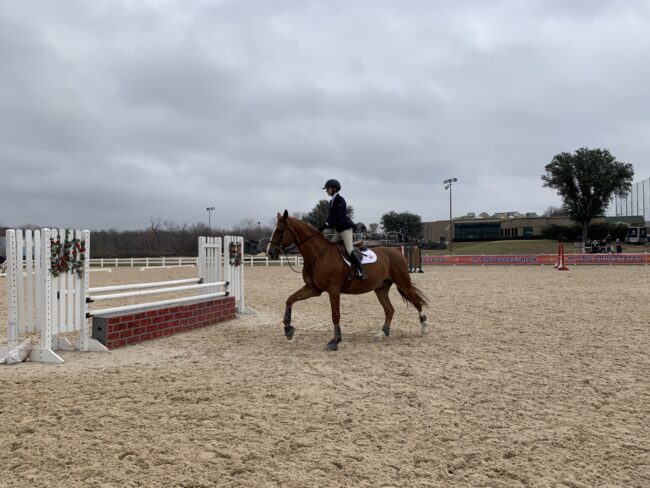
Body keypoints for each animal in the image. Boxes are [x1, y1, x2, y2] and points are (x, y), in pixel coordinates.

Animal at [266, 210, 428, 350]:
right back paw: (383, 333)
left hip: (403, 283)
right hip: (381, 289)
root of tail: (397, 252)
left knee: (416, 302)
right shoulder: (313, 289)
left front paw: (335, 341)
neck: (318, 255)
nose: (269, 253)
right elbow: (290, 299)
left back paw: (424, 329)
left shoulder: (333, 290)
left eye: (280, 230)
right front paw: (288, 329)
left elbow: (335, 315)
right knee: (389, 310)